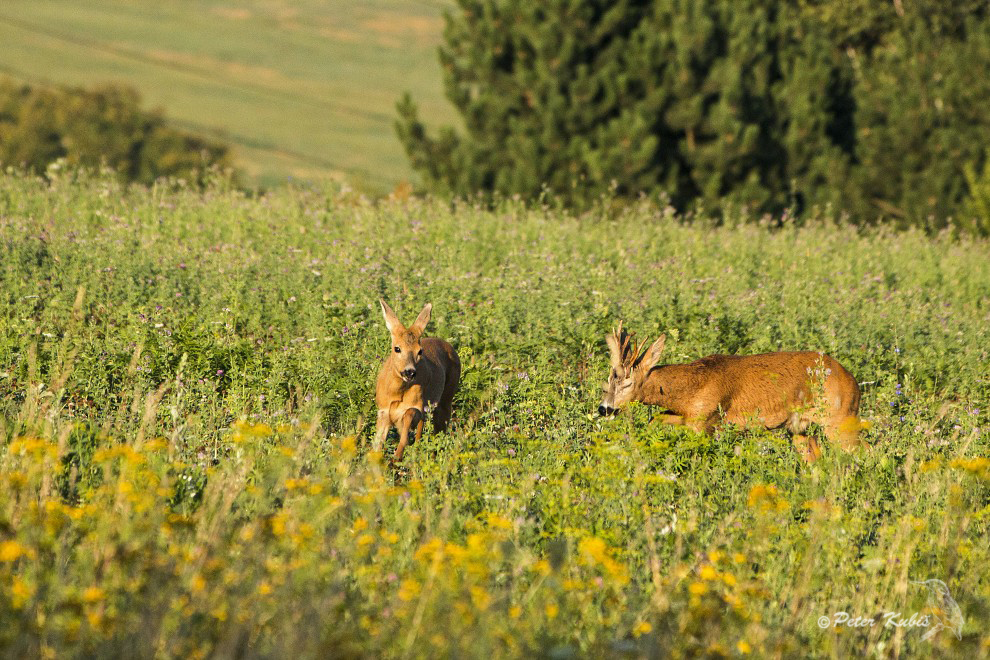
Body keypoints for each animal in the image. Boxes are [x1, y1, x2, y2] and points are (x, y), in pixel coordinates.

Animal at [374, 300, 464, 462]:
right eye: (397, 348)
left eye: (420, 351)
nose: (409, 372)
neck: (397, 393)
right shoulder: (383, 410)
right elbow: (377, 444)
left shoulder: (417, 405)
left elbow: (409, 417)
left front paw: (397, 456)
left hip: (446, 398)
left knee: (439, 430)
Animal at [600, 322, 864, 462]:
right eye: (609, 379)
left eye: (627, 383)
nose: (605, 408)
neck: (694, 385)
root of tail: (853, 382)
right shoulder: (690, 416)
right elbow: (655, 418)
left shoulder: (706, 421)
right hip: (801, 428)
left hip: (840, 418)